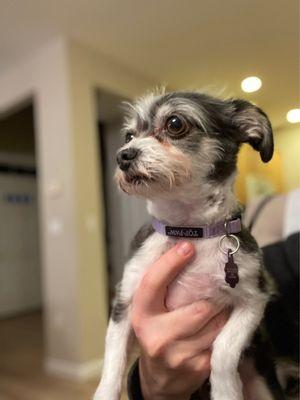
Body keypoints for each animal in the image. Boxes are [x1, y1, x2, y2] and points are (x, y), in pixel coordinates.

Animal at [95, 90, 276, 400]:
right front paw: (104, 392)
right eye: (129, 136)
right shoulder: (125, 301)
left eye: (175, 123)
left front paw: (226, 390)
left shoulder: (253, 300)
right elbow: (113, 358)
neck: (188, 231)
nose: (122, 156)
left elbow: (223, 351)